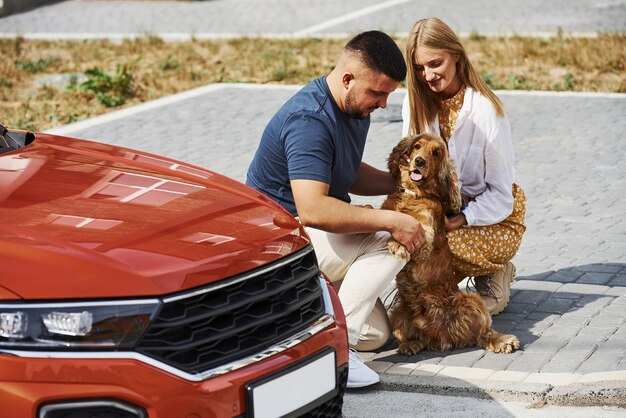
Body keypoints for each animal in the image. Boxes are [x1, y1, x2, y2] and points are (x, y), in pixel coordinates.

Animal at [380, 134, 516, 356]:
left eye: (436, 152)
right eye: (417, 146)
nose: (419, 161)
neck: (414, 194)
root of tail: (442, 338)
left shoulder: (425, 232)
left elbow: (412, 229)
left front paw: (398, 244)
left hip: (473, 302)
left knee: (483, 334)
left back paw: (502, 341)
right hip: (398, 312)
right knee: (415, 337)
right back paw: (410, 344)